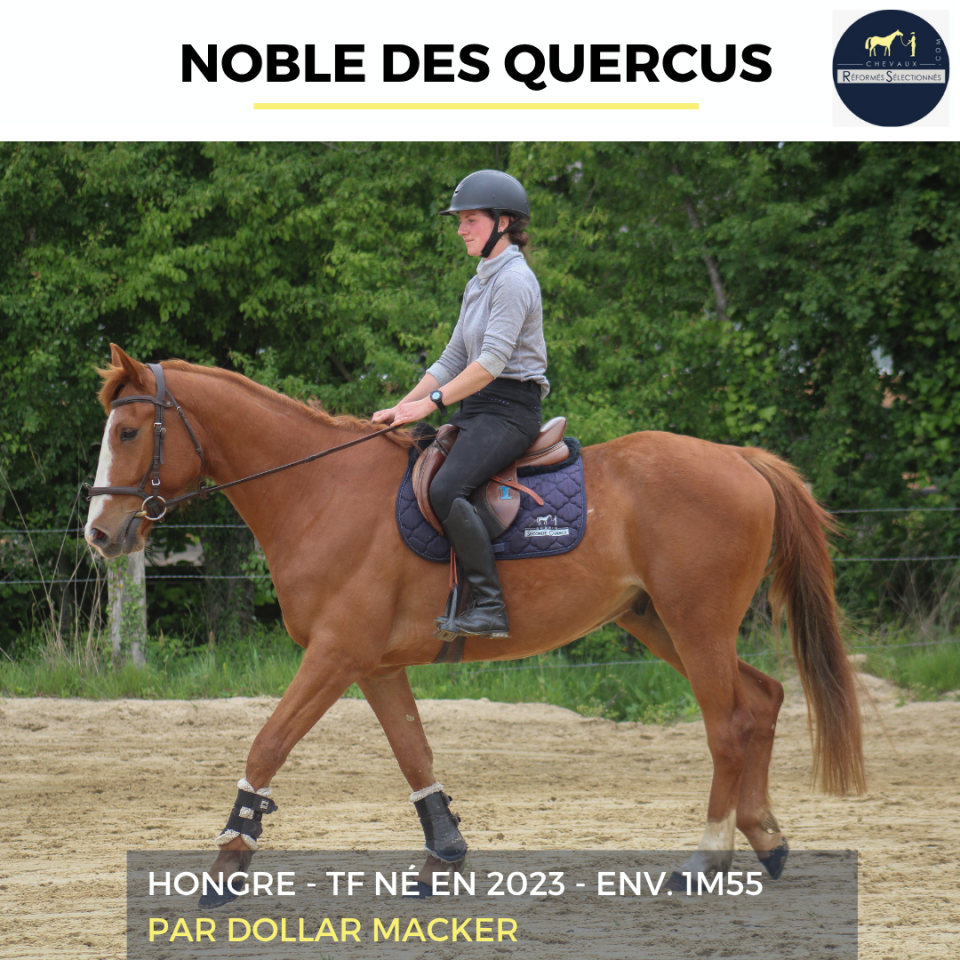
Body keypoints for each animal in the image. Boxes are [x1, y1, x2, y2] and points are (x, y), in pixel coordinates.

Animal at [84, 344, 864, 896]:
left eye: (129, 431)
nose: (100, 534)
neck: (320, 492)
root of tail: (741, 459)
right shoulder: (375, 665)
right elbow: (415, 754)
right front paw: (444, 856)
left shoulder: (335, 656)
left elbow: (268, 743)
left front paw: (227, 861)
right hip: (657, 622)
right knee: (761, 700)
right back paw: (767, 840)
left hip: (695, 622)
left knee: (728, 723)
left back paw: (707, 858)